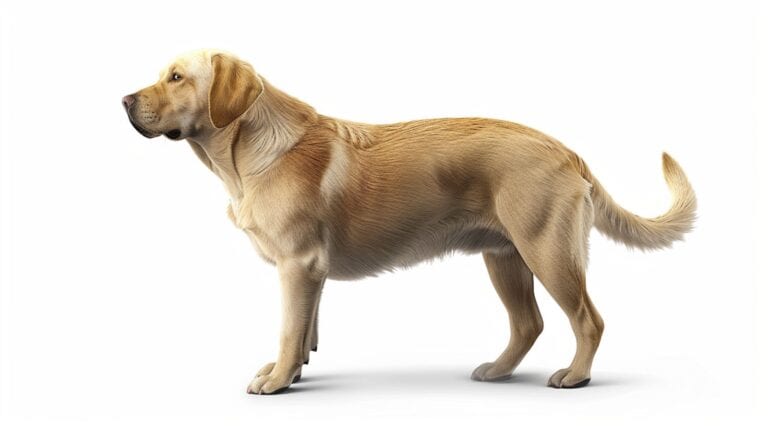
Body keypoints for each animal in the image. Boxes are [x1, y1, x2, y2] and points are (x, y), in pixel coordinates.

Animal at [121, 49, 696, 394]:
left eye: (176, 78)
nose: (124, 99)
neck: (249, 150)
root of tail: (568, 150)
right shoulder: (311, 274)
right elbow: (306, 332)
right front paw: (295, 373)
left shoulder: (297, 266)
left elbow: (288, 330)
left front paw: (278, 380)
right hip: (505, 257)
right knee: (528, 323)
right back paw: (497, 370)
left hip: (547, 252)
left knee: (587, 320)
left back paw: (575, 377)